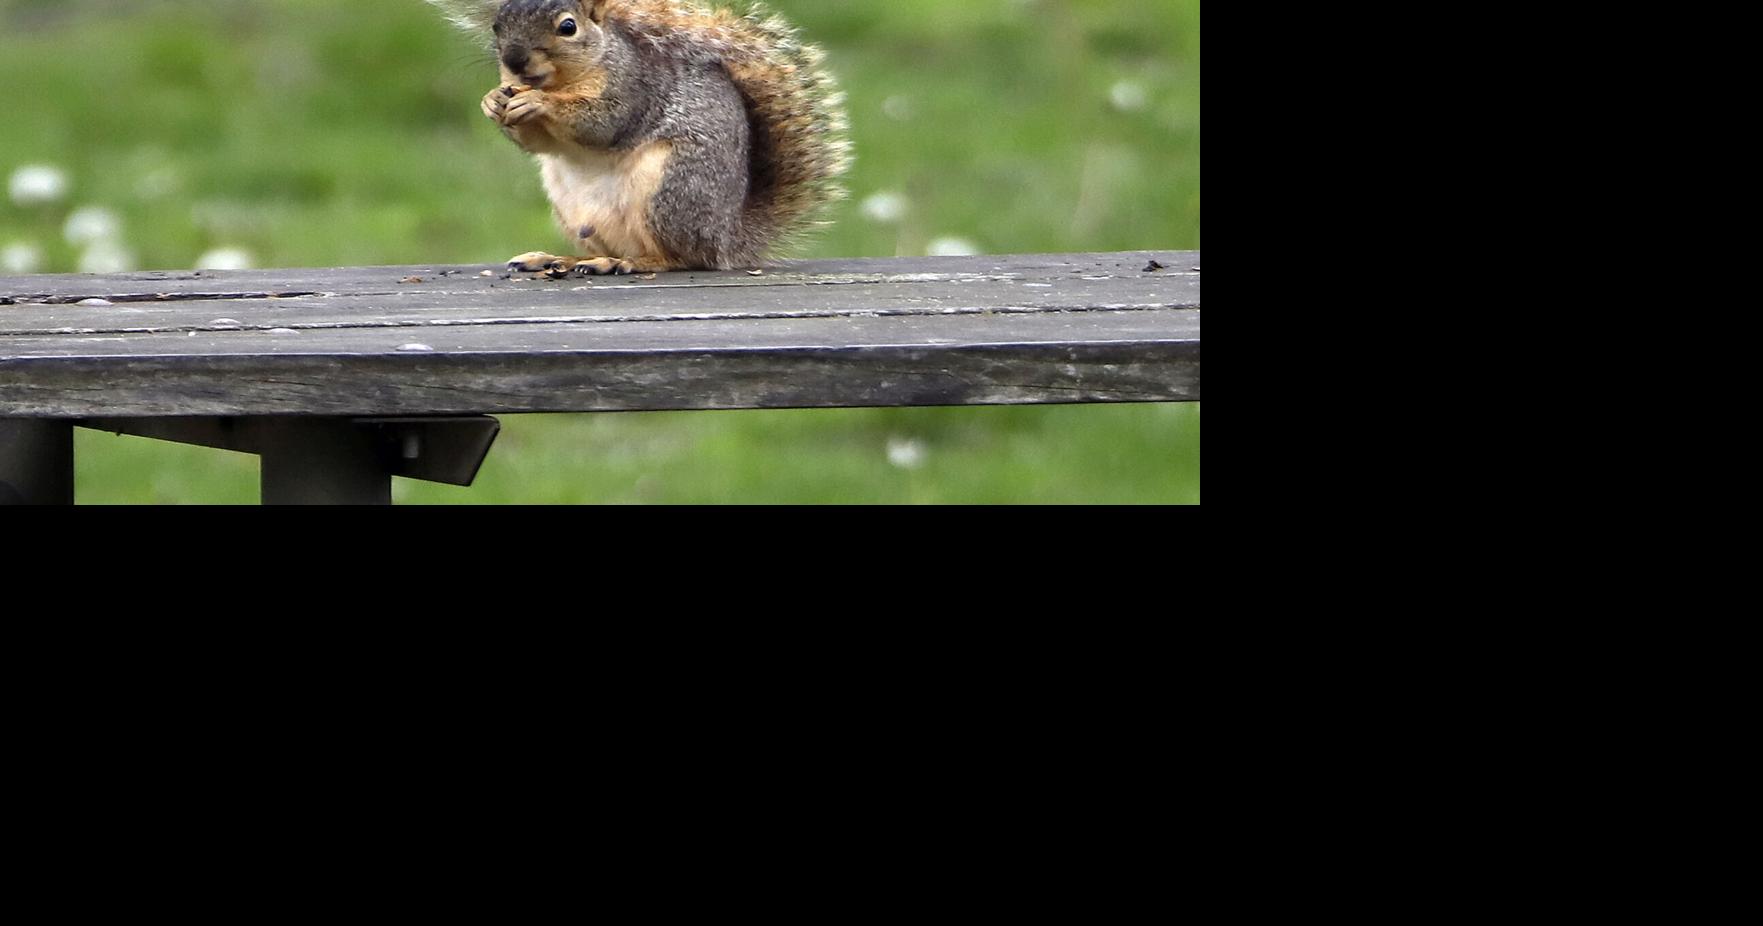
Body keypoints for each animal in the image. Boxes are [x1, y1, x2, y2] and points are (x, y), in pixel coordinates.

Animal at [427, 0, 851, 277]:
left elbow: (602, 123)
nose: (514, 61)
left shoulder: (634, 89)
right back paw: (563, 260)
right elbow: (538, 143)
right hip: (573, 210)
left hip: (672, 192)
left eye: (568, 27)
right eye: (497, 26)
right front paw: (491, 102)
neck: (563, 80)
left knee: (681, 257)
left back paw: (627, 262)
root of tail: (726, 238)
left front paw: (540, 103)